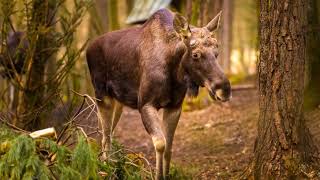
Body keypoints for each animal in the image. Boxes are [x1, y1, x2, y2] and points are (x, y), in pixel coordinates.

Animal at [86, 8, 231, 180]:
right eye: (195, 54)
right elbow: (160, 144)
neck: (174, 72)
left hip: (118, 102)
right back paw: (106, 169)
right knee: (105, 136)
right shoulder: (145, 104)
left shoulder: (174, 107)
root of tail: (87, 49)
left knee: (109, 133)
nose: (225, 89)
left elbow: (168, 147)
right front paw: (157, 175)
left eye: (217, 52)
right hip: (101, 95)